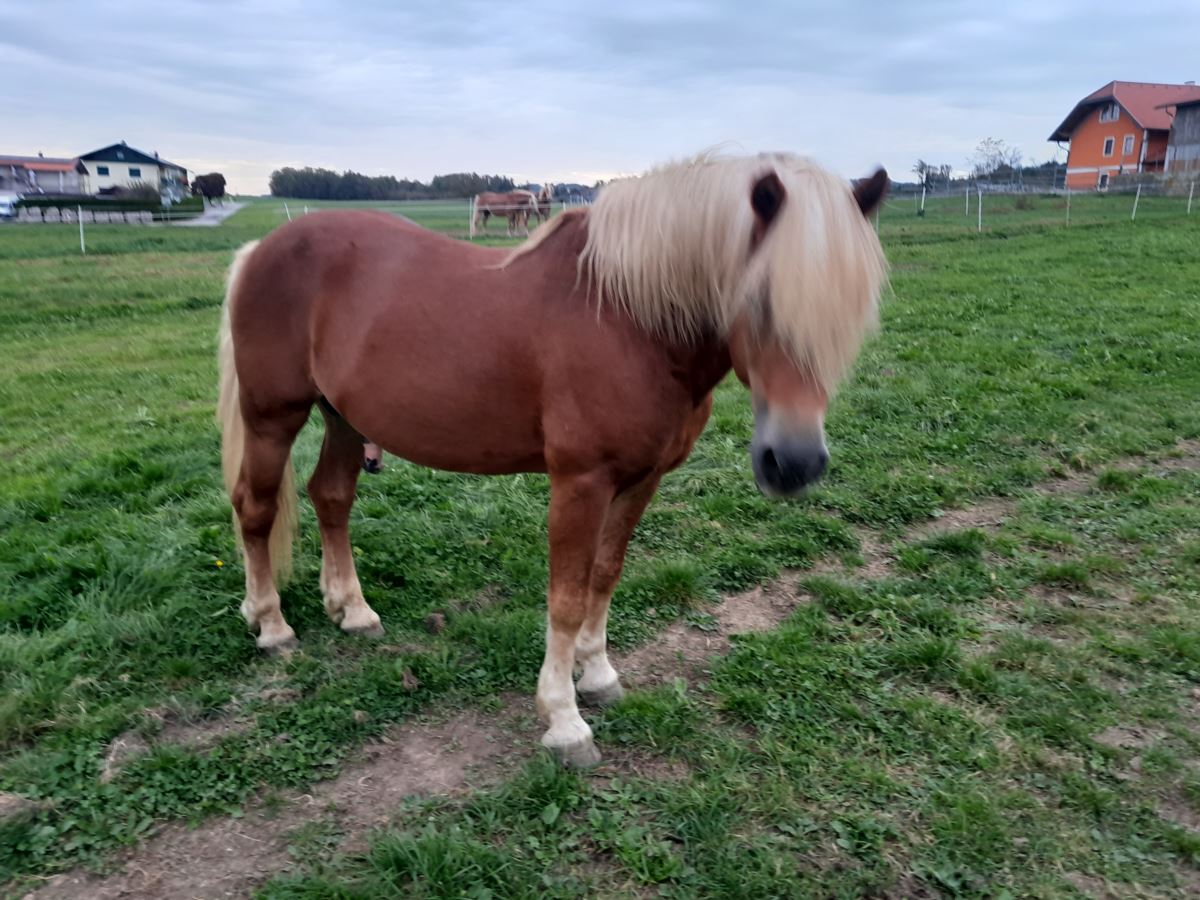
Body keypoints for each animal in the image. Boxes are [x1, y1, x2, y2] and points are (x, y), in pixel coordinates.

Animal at [220, 153, 888, 768]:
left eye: (850, 314)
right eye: (761, 299)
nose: (794, 464)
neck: (628, 315)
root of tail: (258, 252)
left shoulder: (641, 480)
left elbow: (604, 576)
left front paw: (599, 676)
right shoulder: (581, 483)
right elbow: (566, 597)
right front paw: (564, 720)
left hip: (344, 417)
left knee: (331, 496)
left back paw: (353, 611)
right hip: (273, 416)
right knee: (255, 509)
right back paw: (271, 624)